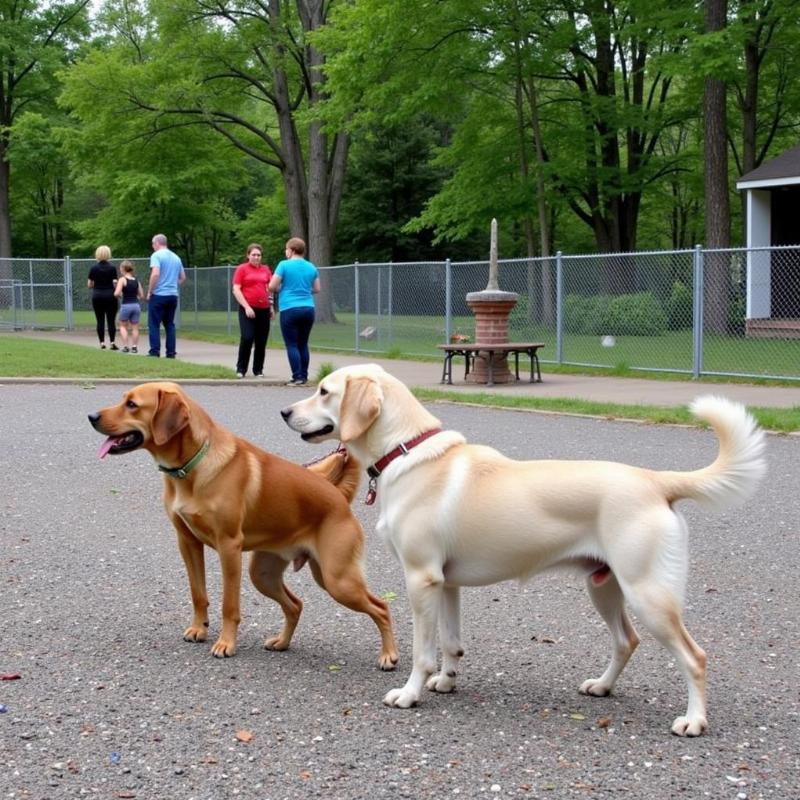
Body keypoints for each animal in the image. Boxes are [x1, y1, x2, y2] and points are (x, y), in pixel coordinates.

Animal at [90, 382, 396, 668]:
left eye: (132, 404)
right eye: (124, 399)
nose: (91, 416)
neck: (193, 467)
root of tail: (338, 496)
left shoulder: (229, 547)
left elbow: (229, 605)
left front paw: (226, 643)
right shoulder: (187, 542)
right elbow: (198, 593)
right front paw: (199, 628)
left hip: (338, 579)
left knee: (381, 607)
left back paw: (389, 655)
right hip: (264, 574)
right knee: (295, 605)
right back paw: (282, 642)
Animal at [278, 366, 764, 736]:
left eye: (324, 391)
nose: (284, 411)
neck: (407, 451)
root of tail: (655, 480)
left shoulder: (421, 579)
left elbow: (422, 651)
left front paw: (410, 694)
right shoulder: (446, 584)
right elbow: (451, 644)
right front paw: (446, 682)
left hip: (649, 596)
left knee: (694, 657)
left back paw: (694, 721)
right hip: (605, 589)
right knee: (627, 640)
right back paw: (602, 687)